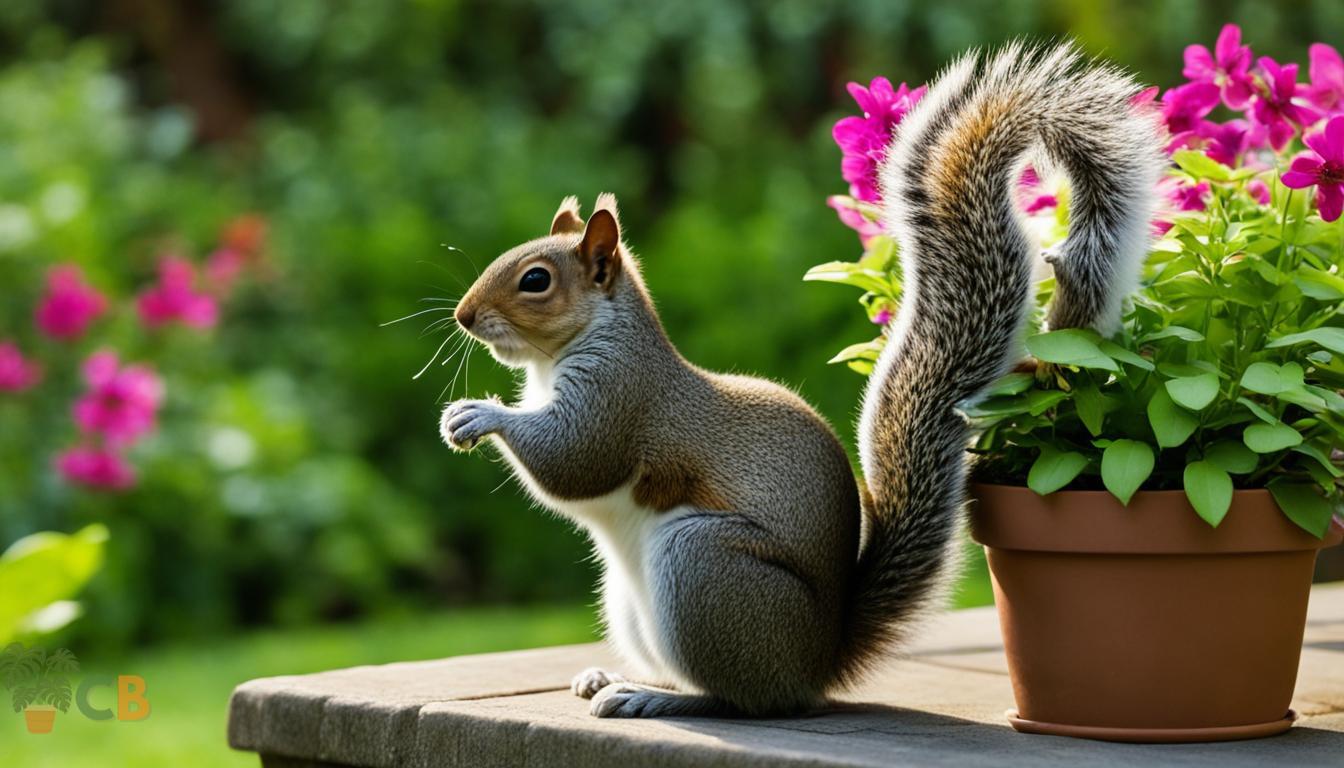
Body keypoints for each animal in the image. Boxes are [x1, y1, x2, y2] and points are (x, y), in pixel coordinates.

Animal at [439, 43, 1163, 718]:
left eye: (536, 279)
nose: (463, 316)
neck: (560, 356)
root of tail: (818, 661)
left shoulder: (621, 396)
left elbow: (576, 459)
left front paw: (478, 414)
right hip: (635, 598)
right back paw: (620, 678)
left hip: (703, 566)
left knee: (746, 699)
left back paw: (656, 697)